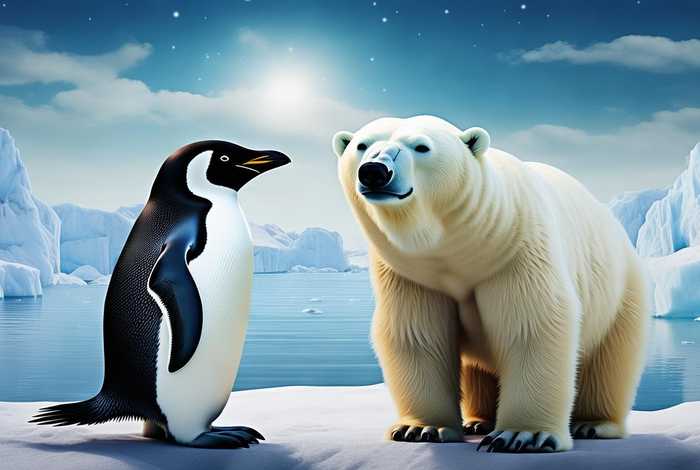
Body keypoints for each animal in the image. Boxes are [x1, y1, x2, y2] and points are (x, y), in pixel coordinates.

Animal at [332, 115, 649, 452]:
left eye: (421, 147)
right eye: (361, 145)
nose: (374, 171)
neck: (458, 248)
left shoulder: (517, 253)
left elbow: (531, 326)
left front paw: (523, 436)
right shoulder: (413, 275)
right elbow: (417, 335)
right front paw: (419, 428)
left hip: (621, 294)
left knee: (610, 363)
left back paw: (594, 423)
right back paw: (478, 420)